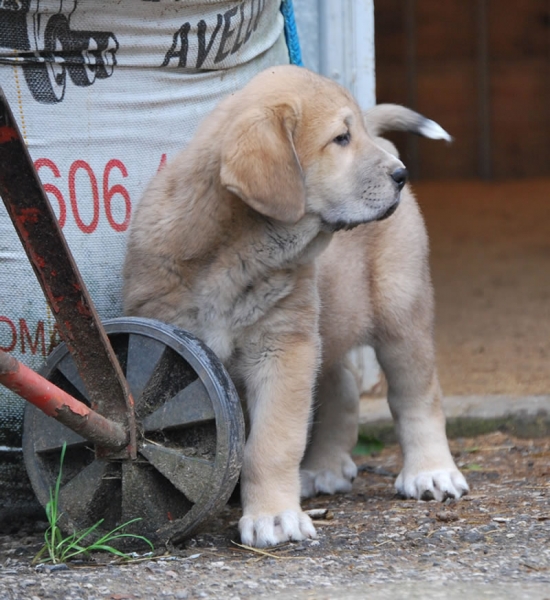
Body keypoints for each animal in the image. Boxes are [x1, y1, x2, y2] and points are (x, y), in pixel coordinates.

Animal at [124, 64, 470, 548]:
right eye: (341, 138)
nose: (401, 175)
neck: (235, 252)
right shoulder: (177, 344)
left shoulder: (283, 348)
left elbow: (272, 444)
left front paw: (273, 516)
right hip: (329, 325)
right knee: (341, 384)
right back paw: (325, 468)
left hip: (402, 314)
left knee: (417, 395)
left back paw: (431, 472)